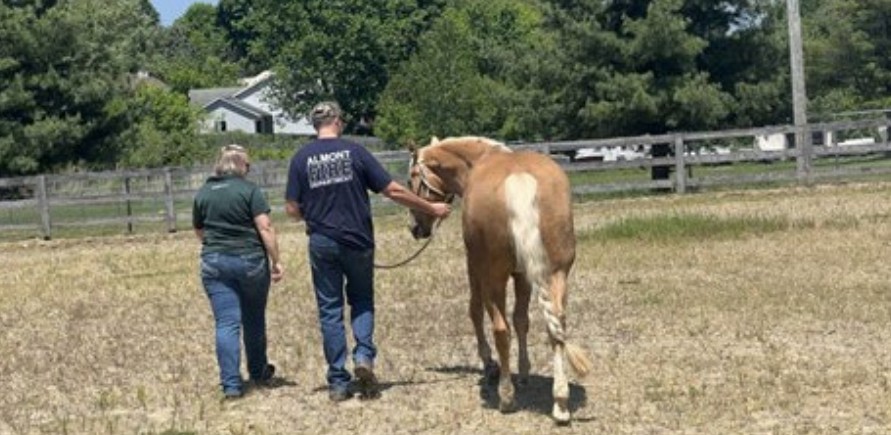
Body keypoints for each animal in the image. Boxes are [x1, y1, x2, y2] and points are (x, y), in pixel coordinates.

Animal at [407, 136, 592, 424]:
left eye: (411, 179)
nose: (416, 228)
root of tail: (518, 178)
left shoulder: (475, 268)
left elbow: (475, 311)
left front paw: (489, 365)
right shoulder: (523, 276)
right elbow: (522, 321)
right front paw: (524, 372)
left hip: (494, 276)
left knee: (501, 330)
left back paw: (506, 396)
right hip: (557, 274)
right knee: (556, 326)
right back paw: (560, 403)